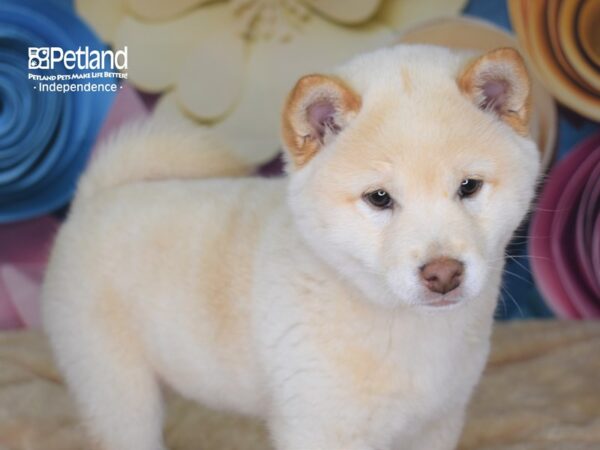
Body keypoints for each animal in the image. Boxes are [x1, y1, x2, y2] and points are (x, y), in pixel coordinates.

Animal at [42, 43, 540, 450]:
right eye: (379, 198)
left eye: (469, 187)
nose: (443, 273)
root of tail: (93, 199)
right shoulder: (320, 427)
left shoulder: (437, 423)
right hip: (120, 391)